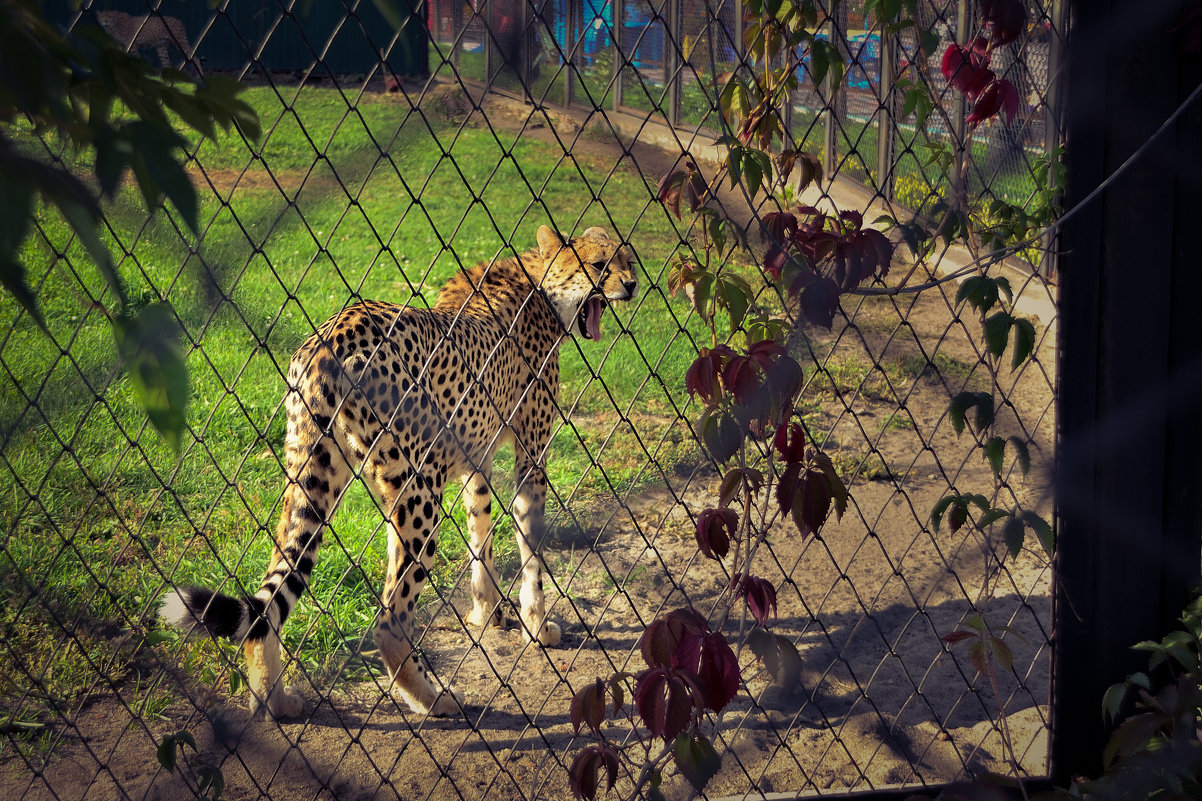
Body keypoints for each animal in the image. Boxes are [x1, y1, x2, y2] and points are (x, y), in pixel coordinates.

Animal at [159, 222, 639, 716]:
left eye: (629, 260)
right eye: (599, 264)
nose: (632, 285)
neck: (540, 285)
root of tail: (329, 336)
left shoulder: (476, 458)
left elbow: (481, 534)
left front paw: (486, 611)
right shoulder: (530, 452)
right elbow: (531, 546)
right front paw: (537, 626)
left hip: (322, 478)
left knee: (275, 591)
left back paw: (275, 698)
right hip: (419, 494)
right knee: (389, 619)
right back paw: (434, 699)